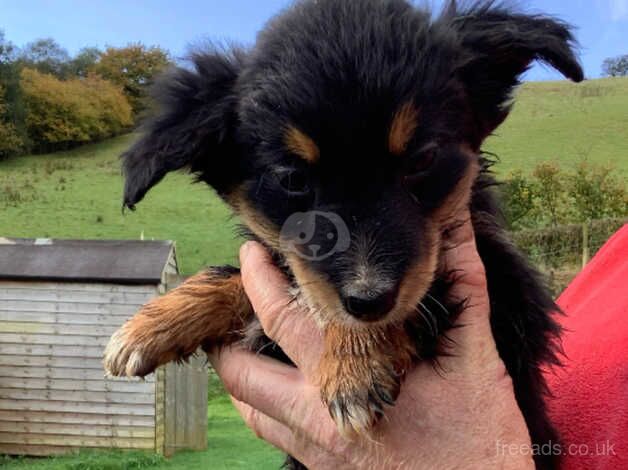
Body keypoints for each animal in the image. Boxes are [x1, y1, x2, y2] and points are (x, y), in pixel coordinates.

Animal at [104, 1, 584, 468]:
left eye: (423, 159)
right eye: (292, 178)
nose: (370, 300)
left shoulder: (499, 290)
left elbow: (415, 297)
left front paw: (354, 367)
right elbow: (252, 276)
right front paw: (152, 325)